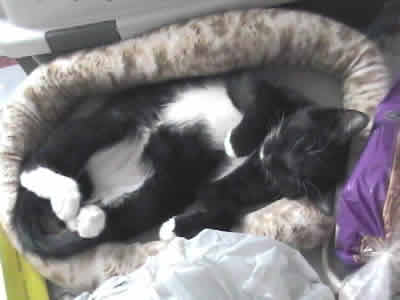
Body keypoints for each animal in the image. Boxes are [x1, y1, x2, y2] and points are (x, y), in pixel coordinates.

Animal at [12, 68, 368, 258]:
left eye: (291, 179)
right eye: (301, 141)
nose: (271, 155)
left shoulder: (232, 185)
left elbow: (223, 208)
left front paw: (175, 228)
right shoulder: (252, 83)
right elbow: (259, 100)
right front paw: (237, 141)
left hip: (161, 191)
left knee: (119, 215)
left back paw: (85, 218)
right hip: (110, 122)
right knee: (34, 164)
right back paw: (64, 194)